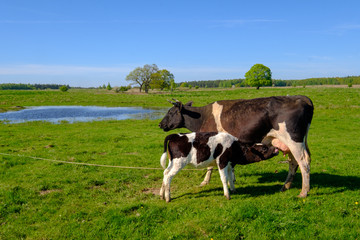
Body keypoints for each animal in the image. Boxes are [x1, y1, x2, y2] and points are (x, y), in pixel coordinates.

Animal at [159, 94, 314, 198]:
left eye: (171, 112)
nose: (160, 124)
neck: (202, 117)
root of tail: (300, 97)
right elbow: (230, 166)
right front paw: (232, 181)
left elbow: (210, 166)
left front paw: (205, 181)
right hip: (290, 143)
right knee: (294, 162)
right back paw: (285, 186)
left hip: (294, 140)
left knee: (303, 162)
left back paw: (303, 192)